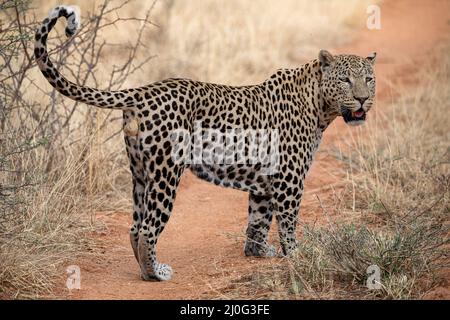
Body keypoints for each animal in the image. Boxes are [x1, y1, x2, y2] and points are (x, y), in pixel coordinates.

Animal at [35, 5, 376, 280]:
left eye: (369, 79)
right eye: (345, 80)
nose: (363, 99)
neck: (320, 105)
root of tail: (142, 91)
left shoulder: (265, 180)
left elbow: (258, 219)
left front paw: (257, 252)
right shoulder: (289, 179)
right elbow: (288, 221)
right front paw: (296, 254)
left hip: (140, 172)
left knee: (134, 226)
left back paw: (144, 268)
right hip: (166, 172)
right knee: (147, 228)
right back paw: (155, 273)